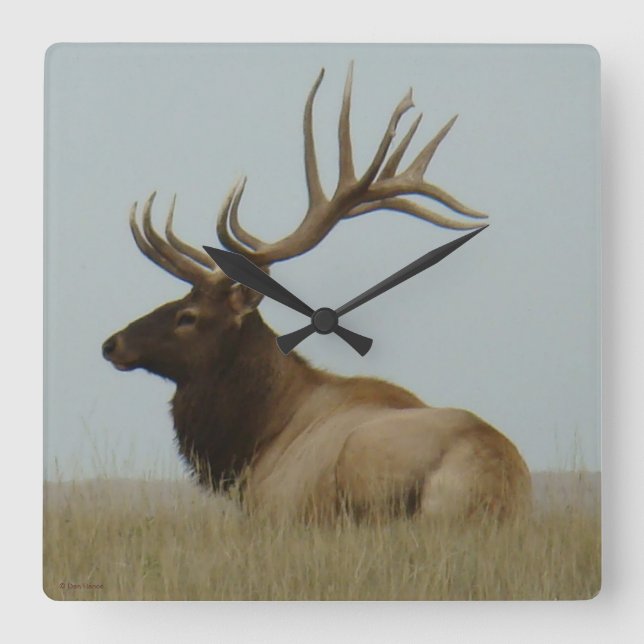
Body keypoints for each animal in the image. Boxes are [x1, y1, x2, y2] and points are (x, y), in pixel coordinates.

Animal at [102, 64, 531, 522]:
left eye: (188, 316)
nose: (112, 344)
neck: (254, 441)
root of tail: (493, 481)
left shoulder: (273, 509)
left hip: (363, 462)